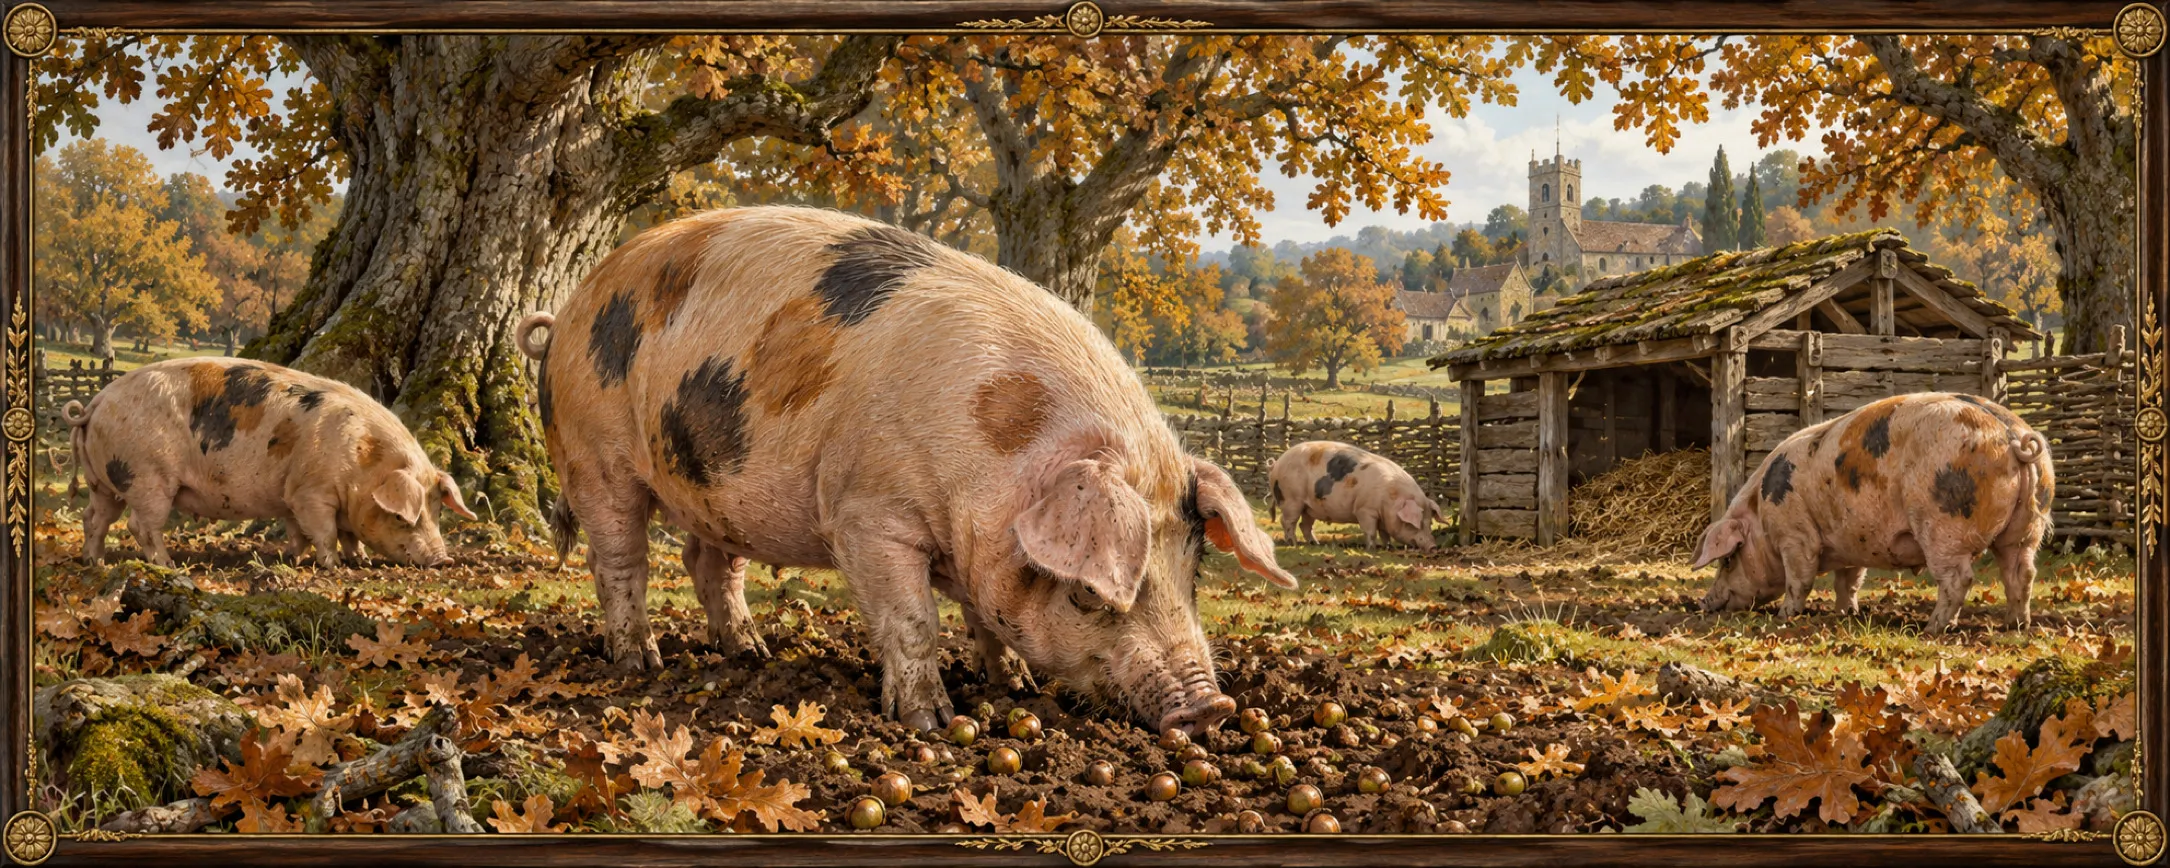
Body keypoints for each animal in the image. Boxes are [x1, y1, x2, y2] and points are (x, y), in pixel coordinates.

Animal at [62, 357, 477, 568]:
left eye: (439, 510)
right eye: (403, 517)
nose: (442, 560)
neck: (363, 462)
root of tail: (95, 404)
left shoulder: (291, 494)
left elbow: (316, 533)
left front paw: (316, 558)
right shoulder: (312, 492)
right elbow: (324, 532)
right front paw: (333, 566)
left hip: (105, 481)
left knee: (94, 518)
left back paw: (93, 562)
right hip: (147, 475)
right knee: (141, 525)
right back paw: (167, 566)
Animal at [518, 206, 1297, 735]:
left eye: (1194, 569)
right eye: (1087, 593)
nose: (1210, 706)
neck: (996, 450)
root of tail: (567, 312)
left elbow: (986, 618)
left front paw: (1014, 686)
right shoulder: (868, 516)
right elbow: (914, 619)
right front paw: (931, 723)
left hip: (714, 482)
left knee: (708, 563)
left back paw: (750, 650)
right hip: (595, 457)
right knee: (620, 560)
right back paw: (639, 663)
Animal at [1266, 441, 1443, 549]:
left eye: (1429, 522)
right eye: (1416, 523)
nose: (1433, 546)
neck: (1391, 498)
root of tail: (1276, 463)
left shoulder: (1383, 517)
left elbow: (1385, 533)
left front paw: (1388, 547)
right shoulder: (1365, 510)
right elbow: (1370, 530)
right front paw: (1372, 549)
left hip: (1309, 506)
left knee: (1305, 525)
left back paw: (1315, 543)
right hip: (1291, 499)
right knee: (1287, 521)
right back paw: (1293, 543)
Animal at [1692, 392, 2052, 632]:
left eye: (1728, 559)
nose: (1703, 602)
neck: (1761, 514)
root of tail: (2012, 437)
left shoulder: (1796, 536)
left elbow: (1800, 579)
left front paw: (1785, 616)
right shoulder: (1849, 541)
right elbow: (1849, 581)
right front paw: (1845, 614)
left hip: (1944, 523)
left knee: (1959, 578)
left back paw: (1933, 629)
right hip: (2028, 526)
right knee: (2022, 572)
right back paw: (2015, 625)